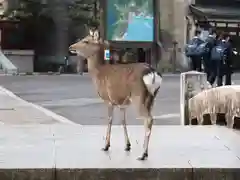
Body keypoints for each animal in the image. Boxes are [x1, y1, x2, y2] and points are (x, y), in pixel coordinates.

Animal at [69, 28, 163, 160]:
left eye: (86, 41)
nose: (71, 47)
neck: (99, 74)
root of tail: (152, 73)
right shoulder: (122, 103)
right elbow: (123, 121)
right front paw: (127, 145)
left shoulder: (108, 100)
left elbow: (110, 120)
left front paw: (106, 146)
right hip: (152, 97)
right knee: (149, 118)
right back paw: (145, 152)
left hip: (138, 96)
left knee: (148, 119)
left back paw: (143, 154)